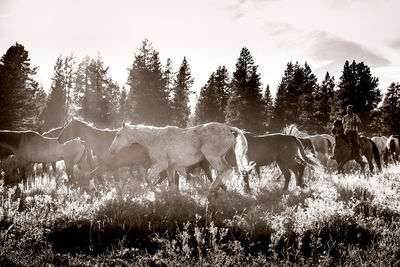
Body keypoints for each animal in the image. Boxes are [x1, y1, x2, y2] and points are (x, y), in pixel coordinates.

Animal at [108, 122, 252, 194]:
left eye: (118, 135)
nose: (111, 151)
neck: (154, 139)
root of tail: (228, 128)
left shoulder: (162, 164)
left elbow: (148, 177)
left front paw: (155, 191)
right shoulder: (170, 167)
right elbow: (172, 182)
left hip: (212, 156)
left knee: (224, 170)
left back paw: (211, 189)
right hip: (220, 157)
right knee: (225, 170)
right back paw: (218, 188)